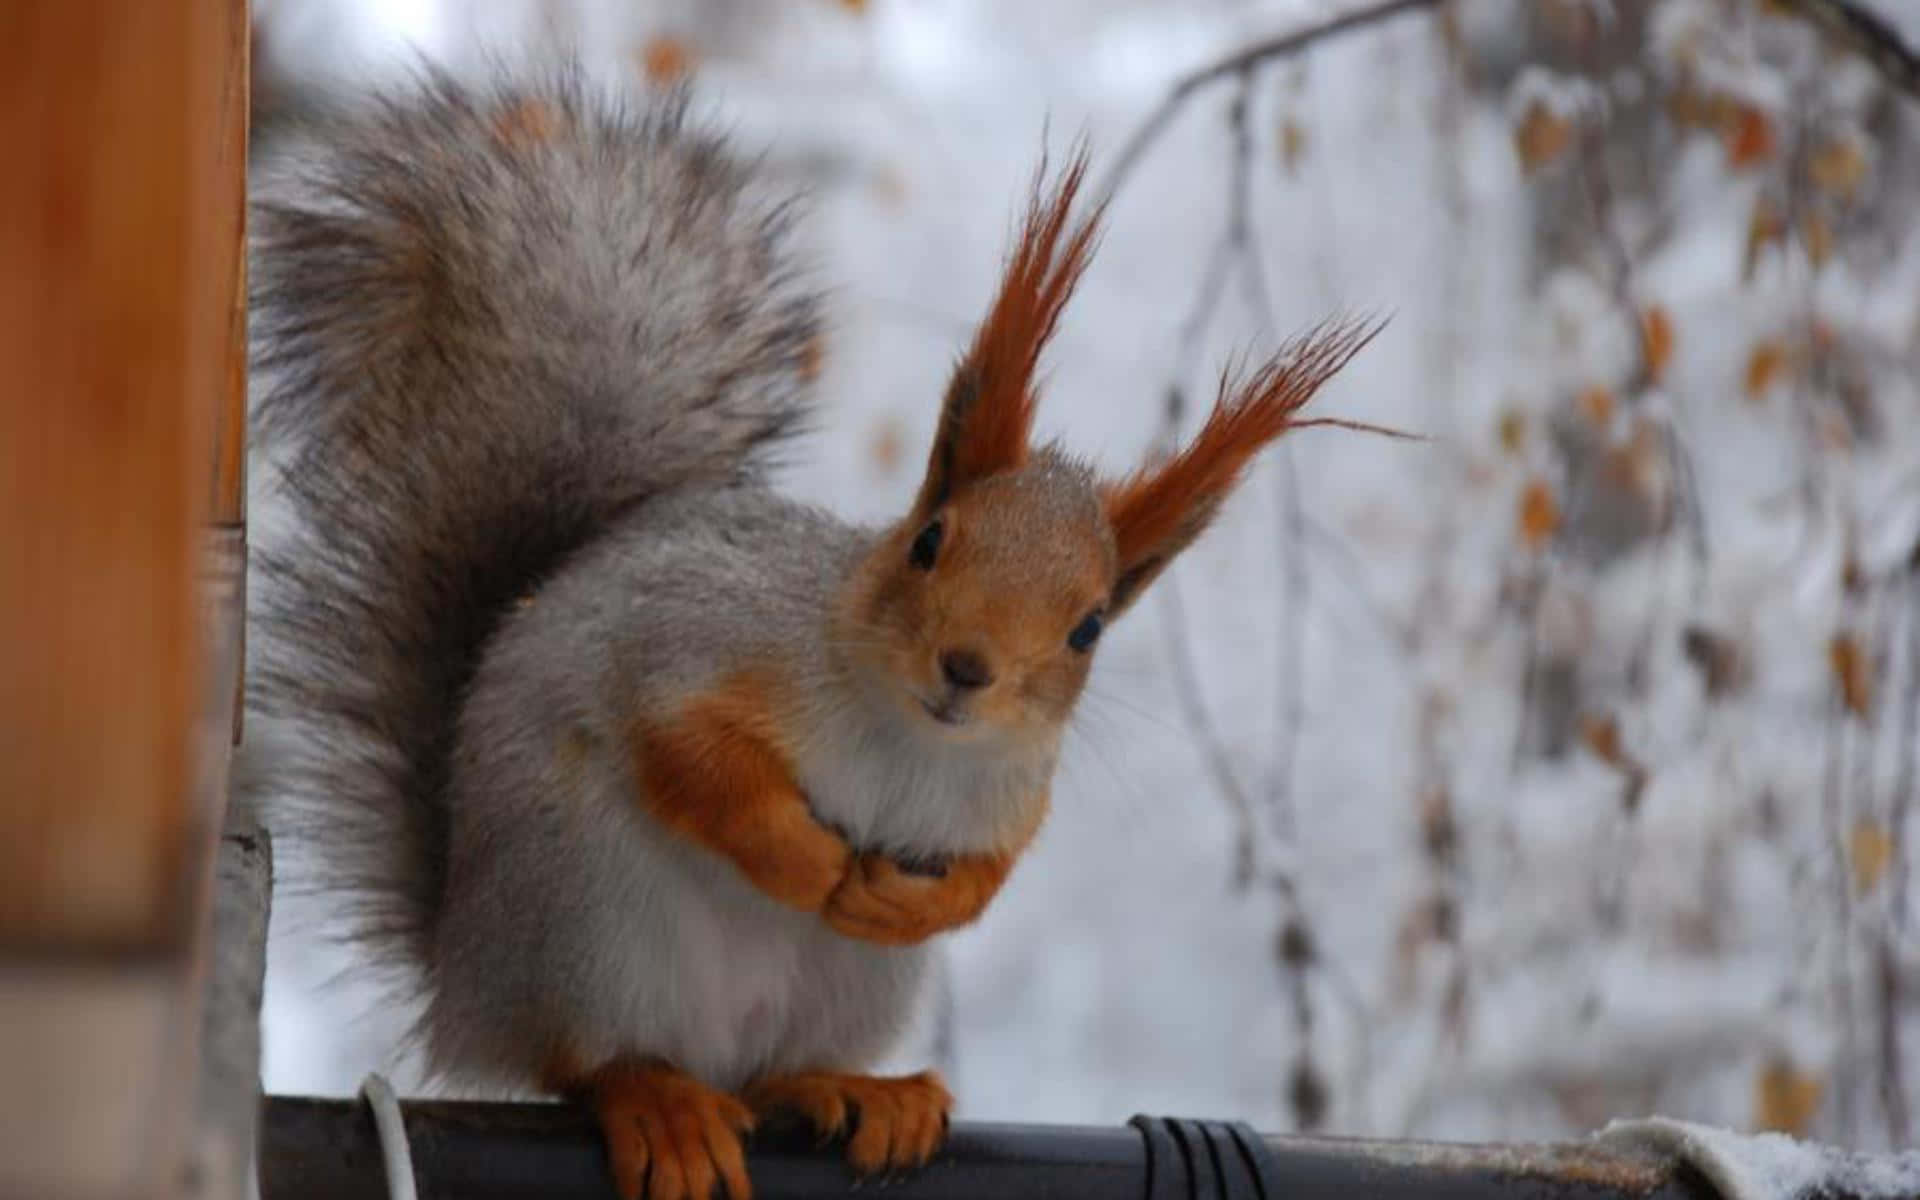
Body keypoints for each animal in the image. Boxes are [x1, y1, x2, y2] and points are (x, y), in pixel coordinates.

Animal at [246, 67, 1380, 1200]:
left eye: (1089, 628)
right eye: (928, 541)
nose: (967, 669)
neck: (911, 736)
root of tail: (462, 980)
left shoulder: (1011, 791)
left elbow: (989, 872)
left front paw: (901, 900)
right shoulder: (695, 644)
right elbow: (686, 753)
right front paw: (806, 863)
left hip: (841, 986)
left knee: (767, 1072)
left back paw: (851, 1089)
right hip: (582, 914)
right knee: (585, 1059)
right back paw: (655, 1098)